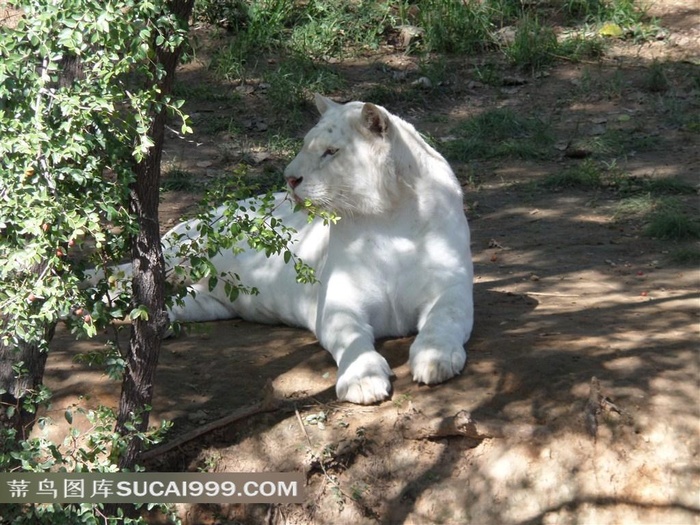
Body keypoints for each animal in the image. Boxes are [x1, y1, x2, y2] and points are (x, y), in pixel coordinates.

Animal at [166, 94, 474, 404]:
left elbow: (444, 319)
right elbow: (352, 339)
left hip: (207, 302)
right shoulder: (339, 302)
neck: (388, 218)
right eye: (305, 145)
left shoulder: (451, 287)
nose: (289, 178)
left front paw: (436, 358)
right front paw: (362, 380)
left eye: (330, 151)